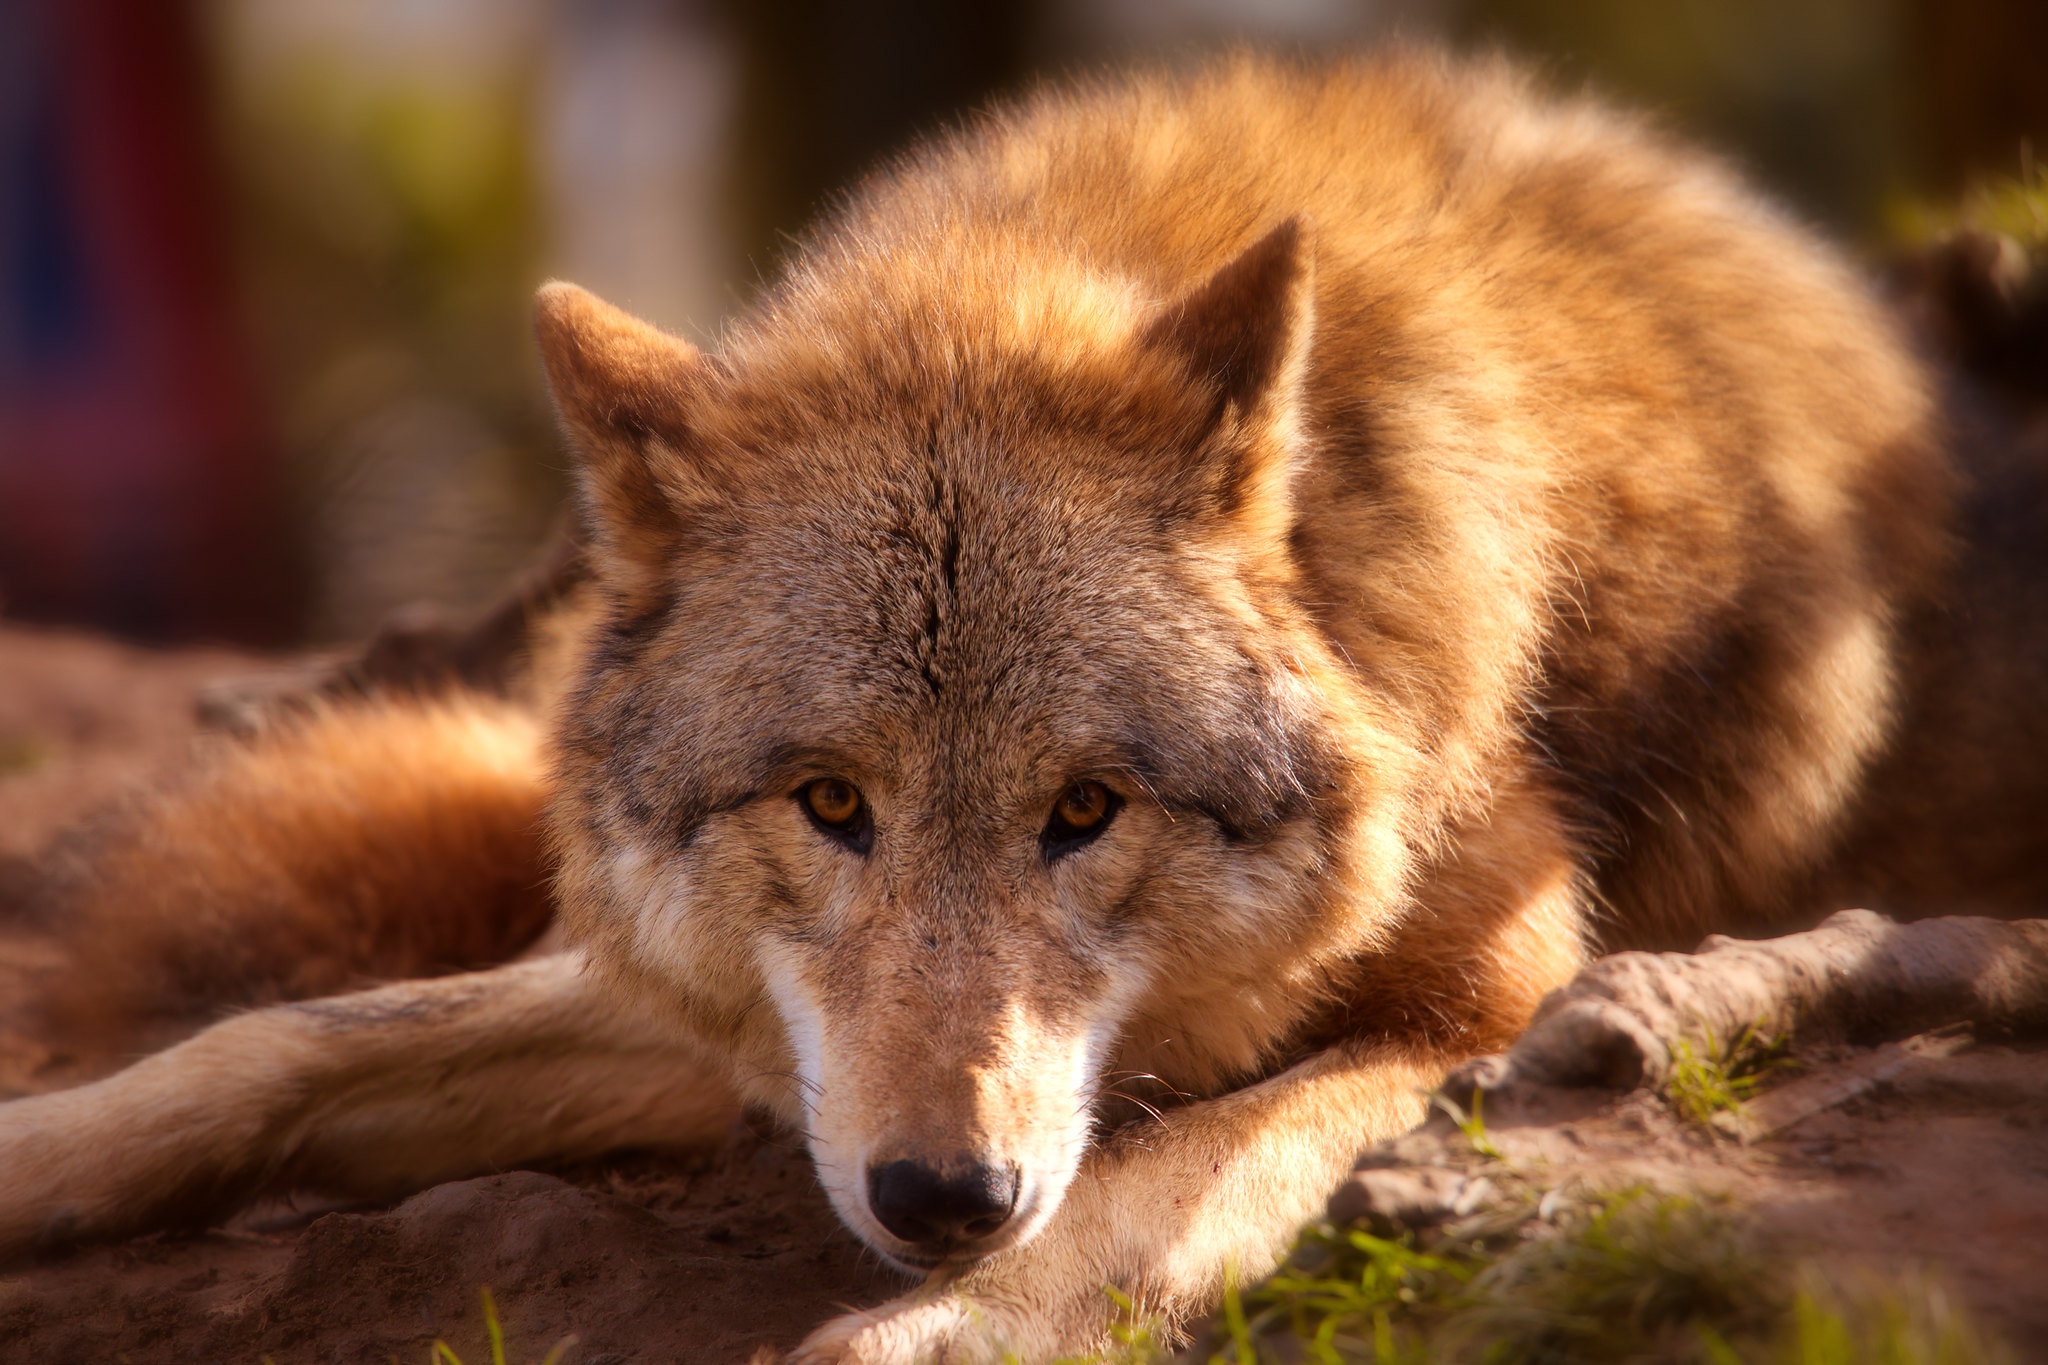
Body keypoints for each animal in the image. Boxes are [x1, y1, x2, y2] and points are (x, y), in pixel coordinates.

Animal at [4, 48, 2048, 1358]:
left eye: (1086, 810)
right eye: (831, 803)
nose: (940, 1196)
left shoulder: (1489, 1001)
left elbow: (1149, 1195)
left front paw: (939, 1317)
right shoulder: (744, 1031)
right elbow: (271, 1046)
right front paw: (41, 1159)